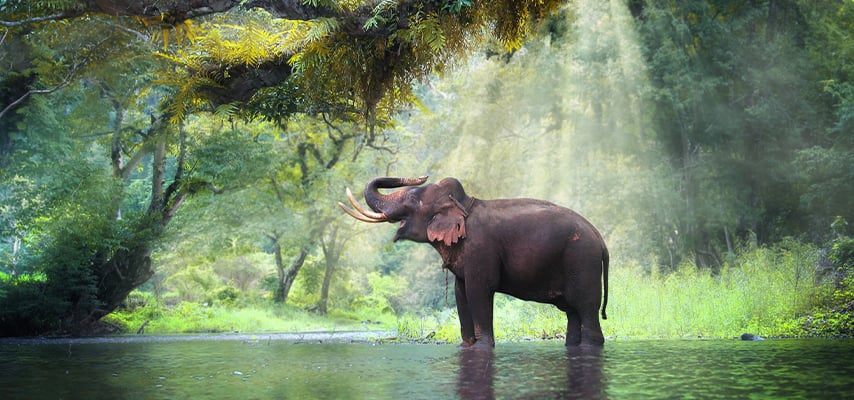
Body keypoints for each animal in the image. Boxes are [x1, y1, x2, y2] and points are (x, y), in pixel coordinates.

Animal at [338, 176, 609, 348]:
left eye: (414, 200)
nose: (421, 175)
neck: (464, 204)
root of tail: (601, 241)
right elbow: (461, 293)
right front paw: (466, 346)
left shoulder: (481, 250)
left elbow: (479, 290)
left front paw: (483, 347)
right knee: (572, 313)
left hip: (582, 262)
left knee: (586, 309)